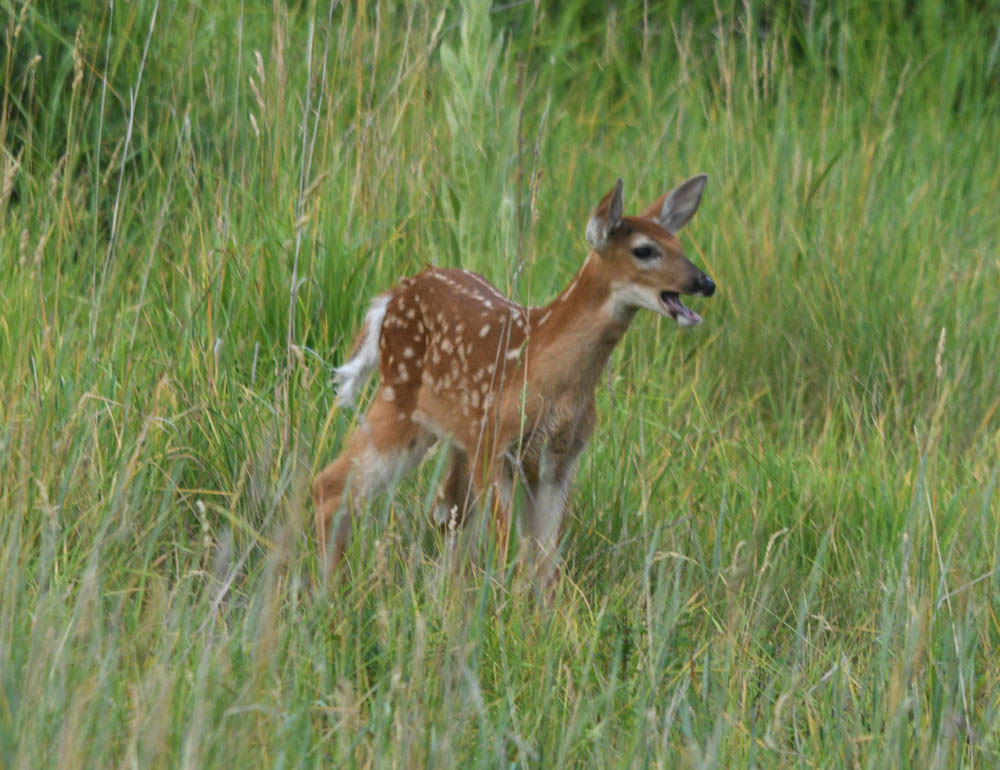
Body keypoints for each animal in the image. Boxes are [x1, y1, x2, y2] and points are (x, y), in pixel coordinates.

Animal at [312, 174, 715, 583]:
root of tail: (391, 296)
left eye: (679, 245)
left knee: (444, 516)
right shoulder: (494, 444)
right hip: (400, 401)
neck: (554, 379)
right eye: (644, 250)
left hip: (452, 437)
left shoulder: (559, 460)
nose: (705, 282)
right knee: (331, 485)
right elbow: (510, 553)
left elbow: (543, 565)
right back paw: (328, 588)